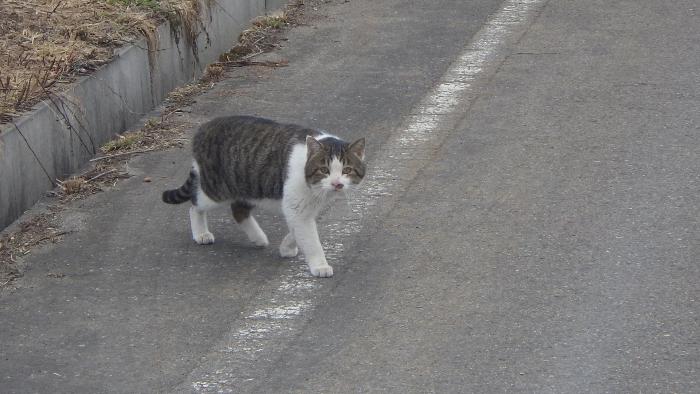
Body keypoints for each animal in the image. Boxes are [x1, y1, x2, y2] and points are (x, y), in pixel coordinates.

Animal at [160, 115, 366, 278]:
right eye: (324, 170)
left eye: (347, 170)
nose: (337, 184)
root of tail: (203, 128)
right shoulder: (298, 208)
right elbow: (310, 238)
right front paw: (320, 266)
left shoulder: (304, 209)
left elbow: (297, 230)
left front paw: (286, 247)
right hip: (216, 190)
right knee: (195, 204)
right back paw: (201, 233)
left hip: (248, 187)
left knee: (238, 210)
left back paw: (257, 238)